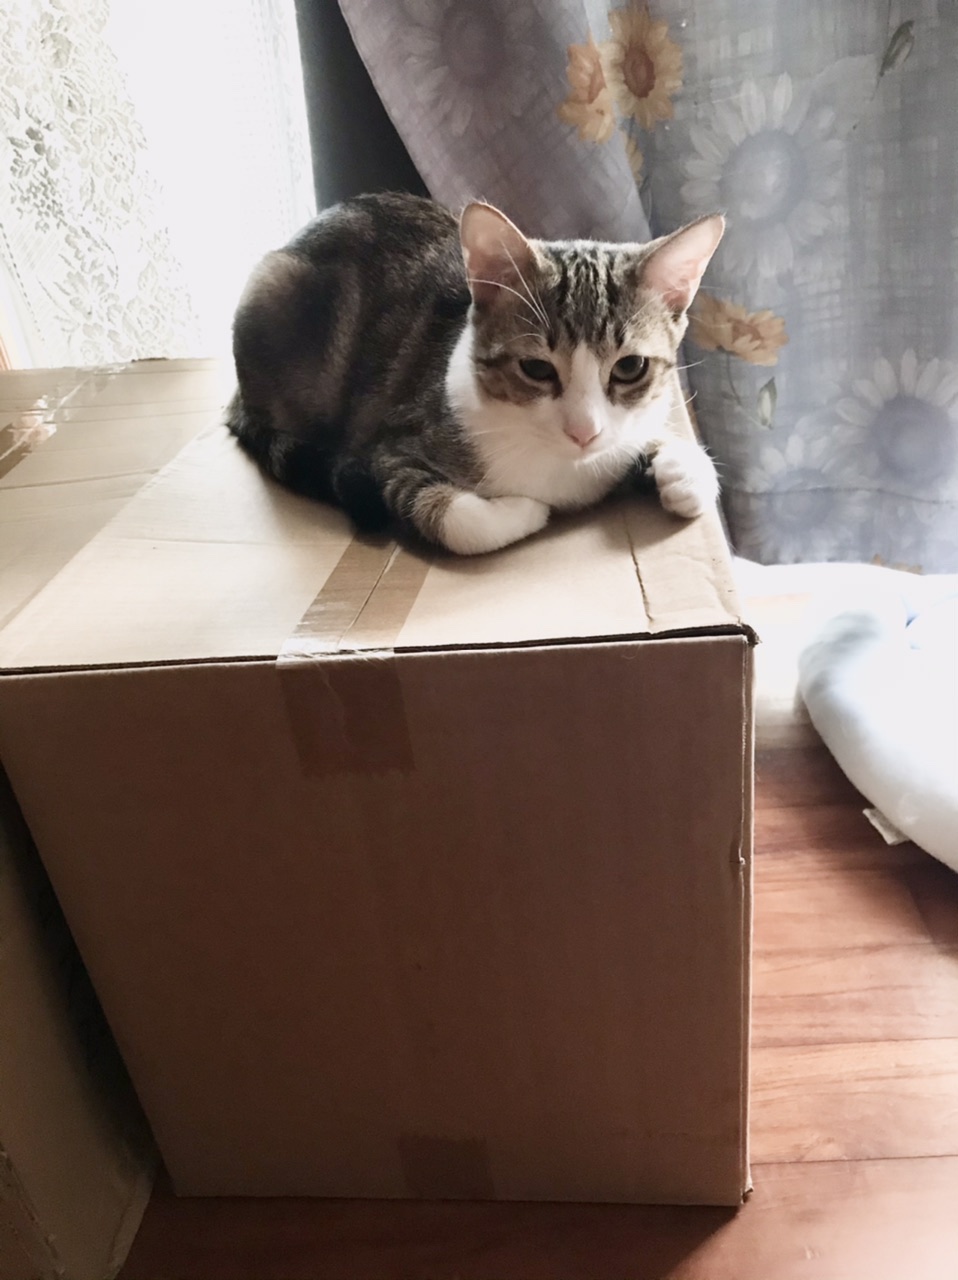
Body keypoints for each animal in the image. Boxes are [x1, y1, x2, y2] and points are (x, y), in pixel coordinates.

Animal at [227, 192, 724, 555]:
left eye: (630, 367)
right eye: (535, 368)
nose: (584, 432)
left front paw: (681, 470)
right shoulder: (388, 448)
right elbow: (463, 523)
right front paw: (526, 510)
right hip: (275, 290)